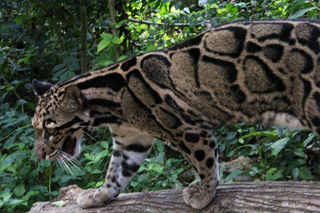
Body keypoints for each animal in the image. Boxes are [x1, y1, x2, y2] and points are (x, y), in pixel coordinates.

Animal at [32, 19, 320, 209]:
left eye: (50, 130)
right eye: (35, 129)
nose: (39, 155)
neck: (113, 106)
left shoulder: (188, 128)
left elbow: (205, 162)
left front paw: (204, 194)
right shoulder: (130, 140)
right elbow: (115, 173)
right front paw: (99, 195)